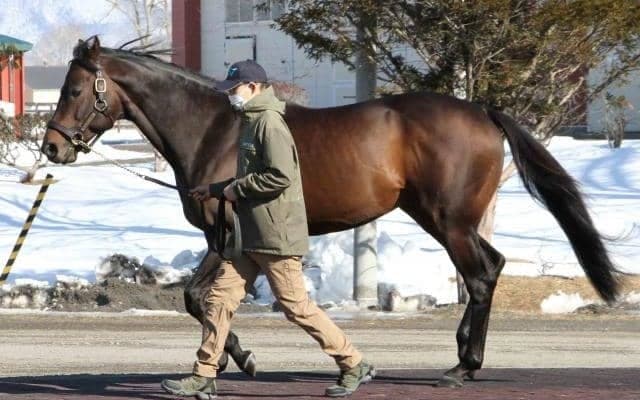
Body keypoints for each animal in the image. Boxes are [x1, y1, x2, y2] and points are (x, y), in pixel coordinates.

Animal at [41, 36, 619, 388]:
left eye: (74, 88)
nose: (52, 147)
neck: (216, 130)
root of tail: (481, 110)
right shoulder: (230, 241)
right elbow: (202, 299)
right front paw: (233, 357)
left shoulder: (222, 234)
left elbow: (195, 297)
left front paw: (237, 357)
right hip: (442, 218)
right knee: (492, 267)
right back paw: (463, 357)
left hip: (448, 219)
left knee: (479, 277)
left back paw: (462, 366)